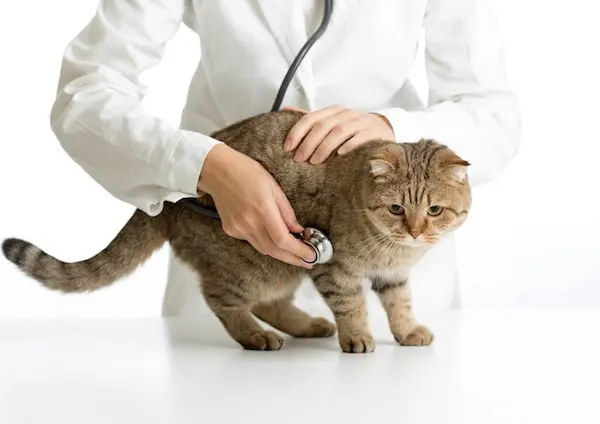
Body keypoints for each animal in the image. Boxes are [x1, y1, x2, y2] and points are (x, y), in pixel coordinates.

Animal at [2, 109, 472, 353]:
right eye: (396, 208)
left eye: (434, 210)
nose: (415, 232)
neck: (393, 250)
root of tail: (169, 199)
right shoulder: (334, 270)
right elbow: (353, 307)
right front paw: (357, 337)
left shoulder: (394, 276)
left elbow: (400, 304)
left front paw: (408, 331)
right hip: (255, 262)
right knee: (222, 299)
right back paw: (257, 336)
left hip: (281, 268)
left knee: (270, 303)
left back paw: (305, 326)